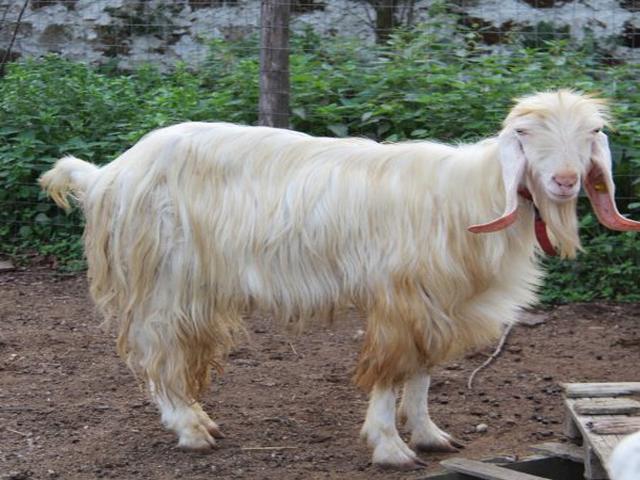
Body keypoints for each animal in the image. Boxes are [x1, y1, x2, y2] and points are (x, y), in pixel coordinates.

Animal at [40, 90, 639, 468]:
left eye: (592, 132)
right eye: (525, 133)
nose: (564, 181)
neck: (466, 196)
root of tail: (109, 174)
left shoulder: (437, 305)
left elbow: (421, 374)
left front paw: (429, 435)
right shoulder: (398, 298)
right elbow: (389, 372)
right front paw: (390, 447)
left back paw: (194, 421)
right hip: (165, 278)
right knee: (159, 351)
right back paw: (190, 429)